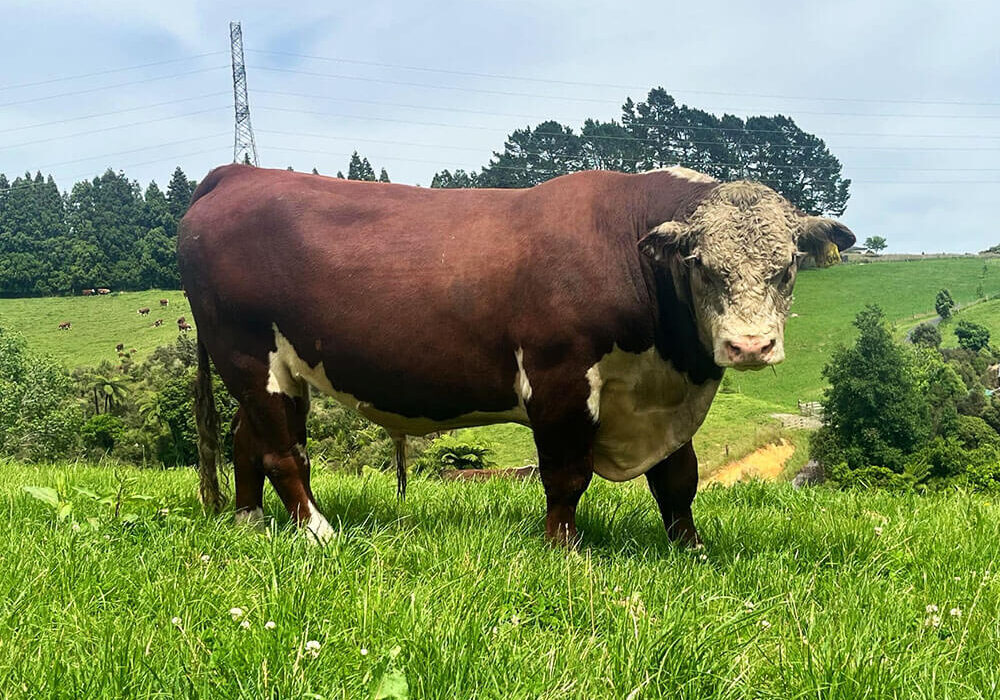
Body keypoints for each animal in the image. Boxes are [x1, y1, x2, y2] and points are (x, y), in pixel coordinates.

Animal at [178, 164, 853, 546]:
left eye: (787, 266)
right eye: (703, 266)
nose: (750, 345)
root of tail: (239, 172)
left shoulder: (664, 399)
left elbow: (677, 479)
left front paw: (690, 550)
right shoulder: (560, 379)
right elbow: (567, 474)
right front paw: (564, 549)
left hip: (271, 366)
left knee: (247, 439)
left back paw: (249, 522)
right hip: (248, 354)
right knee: (280, 450)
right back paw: (317, 533)